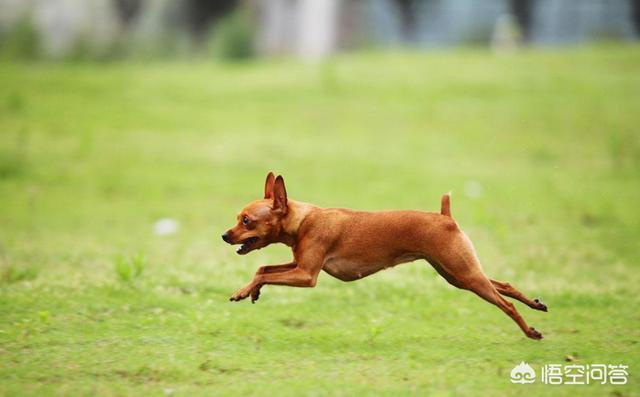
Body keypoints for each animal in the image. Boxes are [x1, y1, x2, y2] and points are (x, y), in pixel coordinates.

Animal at [222, 172, 548, 338]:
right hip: (457, 274)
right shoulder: (298, 264)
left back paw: (530, 330)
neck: (303, 220)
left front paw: (243, 291)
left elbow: (263, 272)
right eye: (238, 218)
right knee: (504, 285)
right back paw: (536, 304)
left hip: (464, 274)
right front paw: (249, 291)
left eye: (246, 221)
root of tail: (445, 217)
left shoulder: (306, 275)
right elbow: (264, 269)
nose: (224, 235)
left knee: (505, 303)